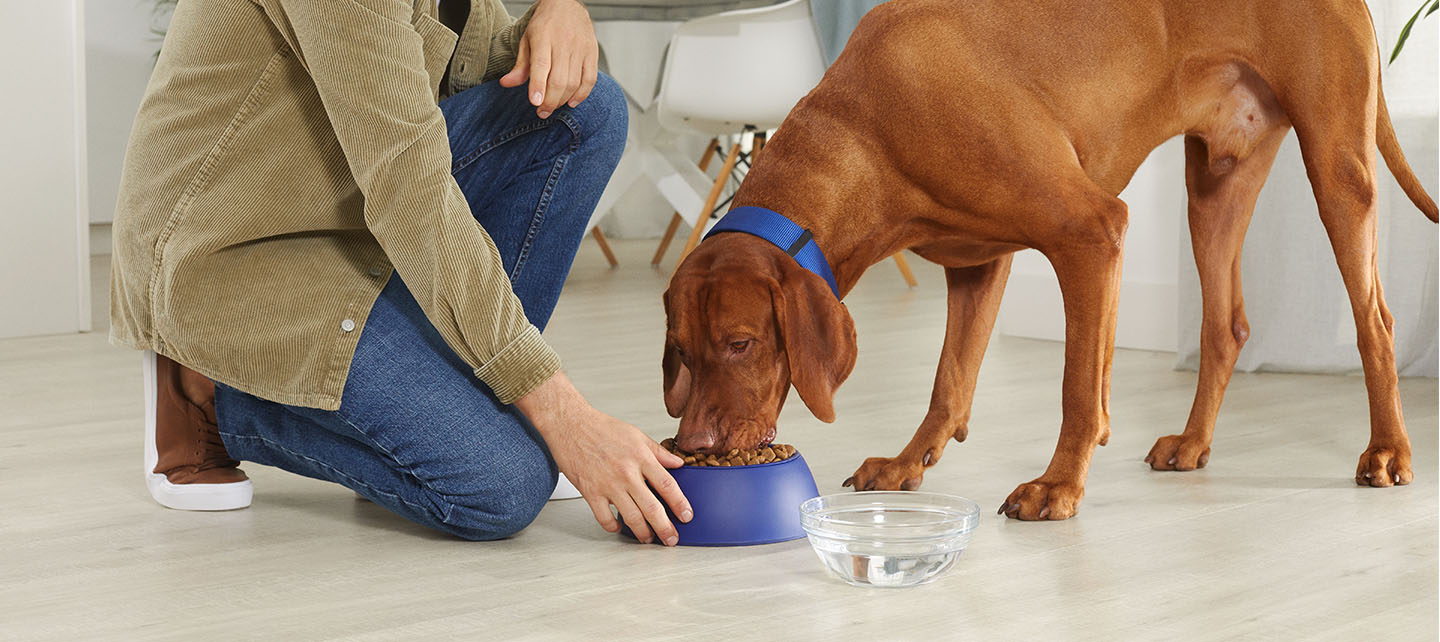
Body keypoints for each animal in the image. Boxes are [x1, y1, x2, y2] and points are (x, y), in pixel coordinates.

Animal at [662, 0, 1440, 518]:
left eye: (741, 343)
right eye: (683, 353)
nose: (692, 444)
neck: (864, 126)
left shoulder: (1091, 231)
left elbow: (1075, 386)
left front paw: (1059, 485)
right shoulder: (977, 263)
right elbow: (950, 381)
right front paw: (909, 463)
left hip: (1336, 165)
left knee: (1375, 318)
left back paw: (1388, 453)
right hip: (1215, 184)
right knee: (1226, 326)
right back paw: (1192, 443)